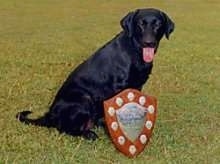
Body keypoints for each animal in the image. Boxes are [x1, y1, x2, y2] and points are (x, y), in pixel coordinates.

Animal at [16, 8, 175, 140]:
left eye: (158, 24)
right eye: (140, 24)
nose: (149, 42)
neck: (134, 51)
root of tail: (50, 115)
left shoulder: (137, 86)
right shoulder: (118, 87)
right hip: (84, 98)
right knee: (64, 129)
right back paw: (89, 134)